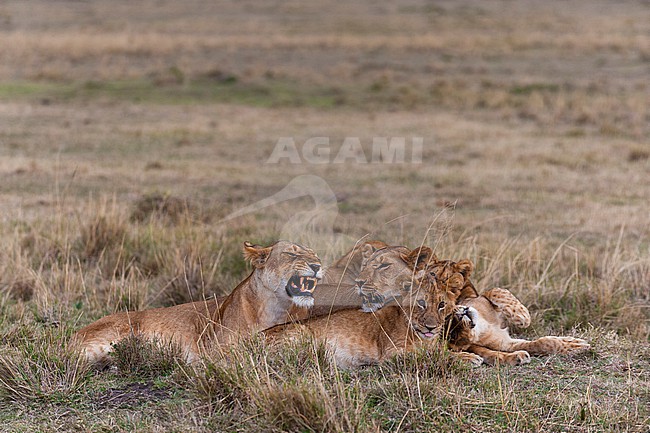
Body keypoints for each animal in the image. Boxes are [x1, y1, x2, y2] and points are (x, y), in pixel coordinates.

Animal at [74, 240, 322, 365]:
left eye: (315, 255)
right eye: (291, 254)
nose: (318, 265)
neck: (278, 307)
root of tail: (76, 333)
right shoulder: (216, 350)